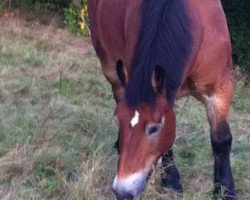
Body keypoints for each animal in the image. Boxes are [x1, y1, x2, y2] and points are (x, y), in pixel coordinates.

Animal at [87, 0, 234, 200]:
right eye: (117, 121)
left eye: (155, 128)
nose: (122, 191)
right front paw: (171, 182)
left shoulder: (220, 90)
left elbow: (221, 140)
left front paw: (226, 192)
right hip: (110, 68)